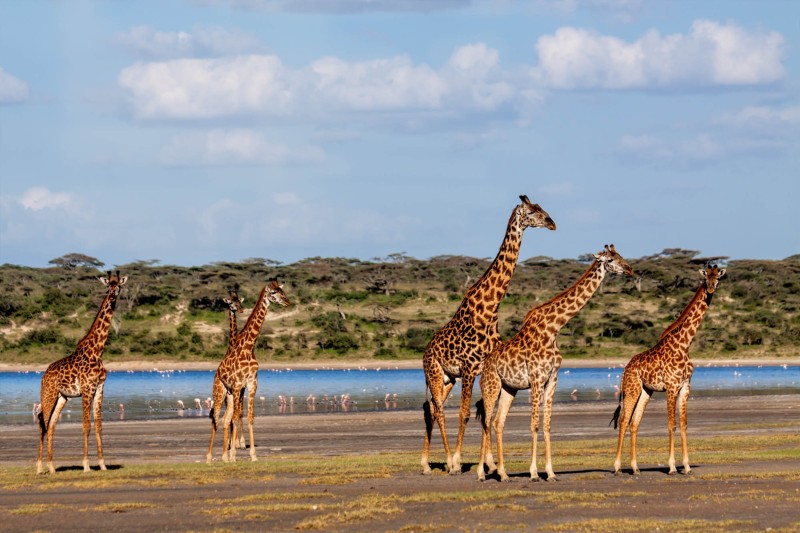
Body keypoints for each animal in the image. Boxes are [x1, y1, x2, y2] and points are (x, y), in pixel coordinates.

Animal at [36, 271, 128, 474]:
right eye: (108, 285)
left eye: (118, 285)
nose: (112, 296)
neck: (97, 351)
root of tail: (44, 375)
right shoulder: (86, 389)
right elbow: (86, 425)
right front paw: (86, 465)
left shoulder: (100, 388)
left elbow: (99, 425)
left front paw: (102, 464)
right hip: (49, 394)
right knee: (42, 422)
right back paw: (38, 467)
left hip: (62, 397)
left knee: (51, 425)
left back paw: (52, 467)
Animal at [206, 278, 289, 463]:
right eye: (274, 292)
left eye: (282, 290)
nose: (287, 302)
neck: (248, 347)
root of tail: (216, 373)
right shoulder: (239, 385)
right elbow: (237, 417)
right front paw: (234, 454)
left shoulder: (251, 384)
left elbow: (249, 417)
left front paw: (252, 455)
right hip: (220, 392)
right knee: (215, 420)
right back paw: (209, 457)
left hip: (230, 394)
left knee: (225, 419)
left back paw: (224, 456)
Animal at [421, 195, 556, 475]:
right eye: (532, 212)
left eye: (542, 208)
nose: (552, 223)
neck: (490, 310)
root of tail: (424, 352)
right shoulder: (469, 368)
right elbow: (465, 413)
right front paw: (458, 461)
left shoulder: (485, 368)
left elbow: (486, 412)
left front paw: (491, 463)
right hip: (435, 372)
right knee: (439, 410)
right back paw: (446, 460)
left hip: (448, 378)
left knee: (431, 408)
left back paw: (425, 463)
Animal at [476, 245, 634, 481]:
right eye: (610, 260)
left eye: (621, 255)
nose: (630, 269)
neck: (554, 328)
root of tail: (484, 365)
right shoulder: (536, 378)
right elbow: (534, 425)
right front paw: (533, 472)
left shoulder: (552, 379)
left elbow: (547, 425)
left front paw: (550, 472)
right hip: (491, 385)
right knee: (486, 421)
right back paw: (482, 472)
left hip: (509, 388)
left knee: (497, 422)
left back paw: (503, 473)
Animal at [611, 265, 726, 476]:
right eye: (706, 277)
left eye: (718, 278)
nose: (711, 289)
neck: (685, 345)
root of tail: (625, 369)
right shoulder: (671, 386)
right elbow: (671, 425)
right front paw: (672, 466)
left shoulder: (685, 387)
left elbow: (684, 425)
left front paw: (687, 466)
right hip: (632, 389)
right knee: (623, 420)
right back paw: (617, 467)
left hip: (645, 391)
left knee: (634, 423)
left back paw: (635, 467)